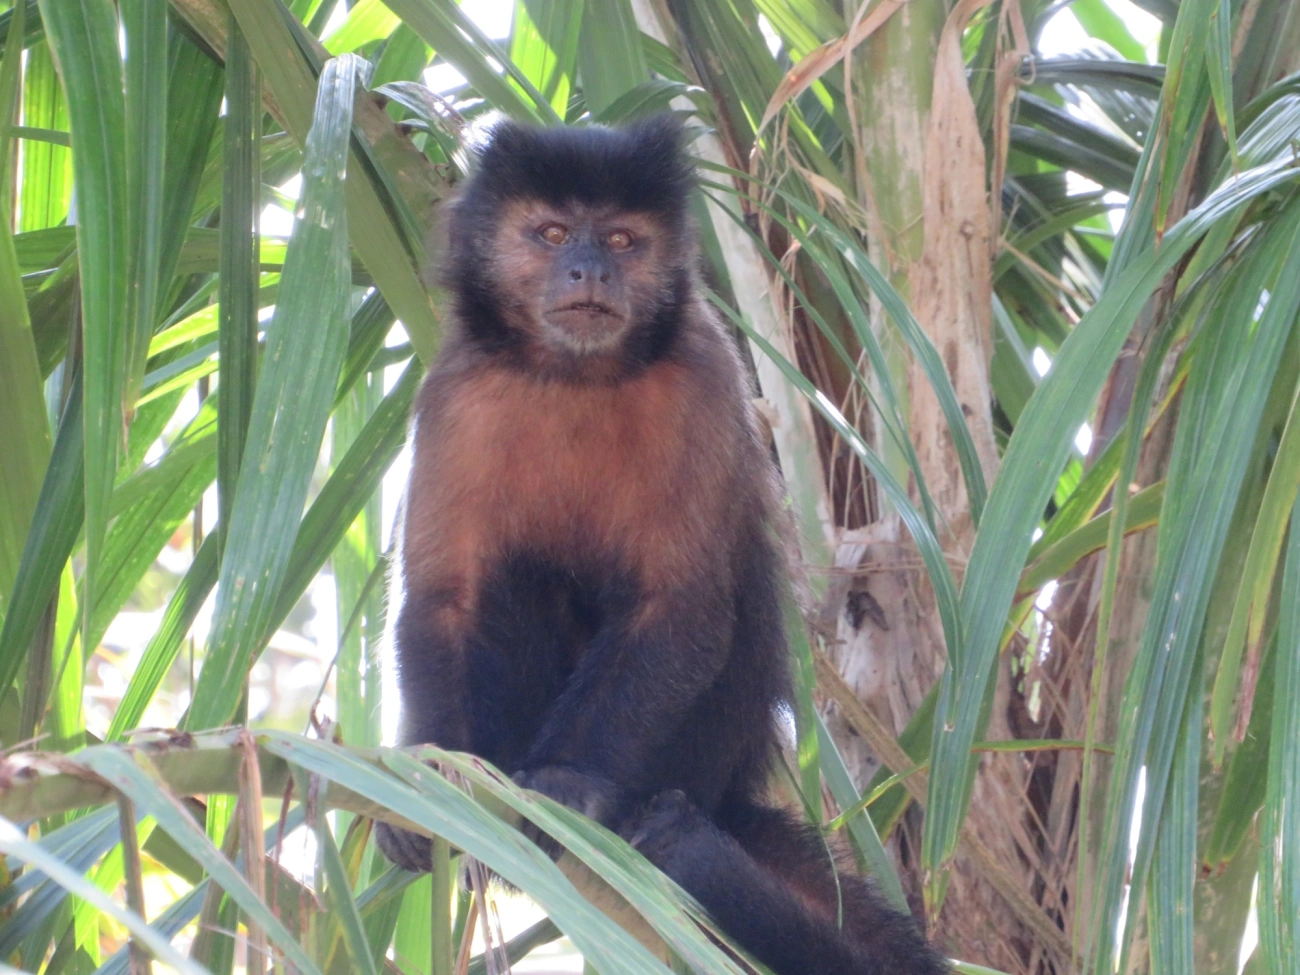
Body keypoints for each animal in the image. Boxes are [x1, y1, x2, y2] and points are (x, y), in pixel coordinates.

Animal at [375, 114, 950, 975]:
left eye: (620, 237)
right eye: (552, 233)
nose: (589, 267)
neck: (576, 377)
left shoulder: (702, 376)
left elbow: (679, 608)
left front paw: (570, 780)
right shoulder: (456, 391)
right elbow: (445, 599)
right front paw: (435, 768)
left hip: (697, 749)